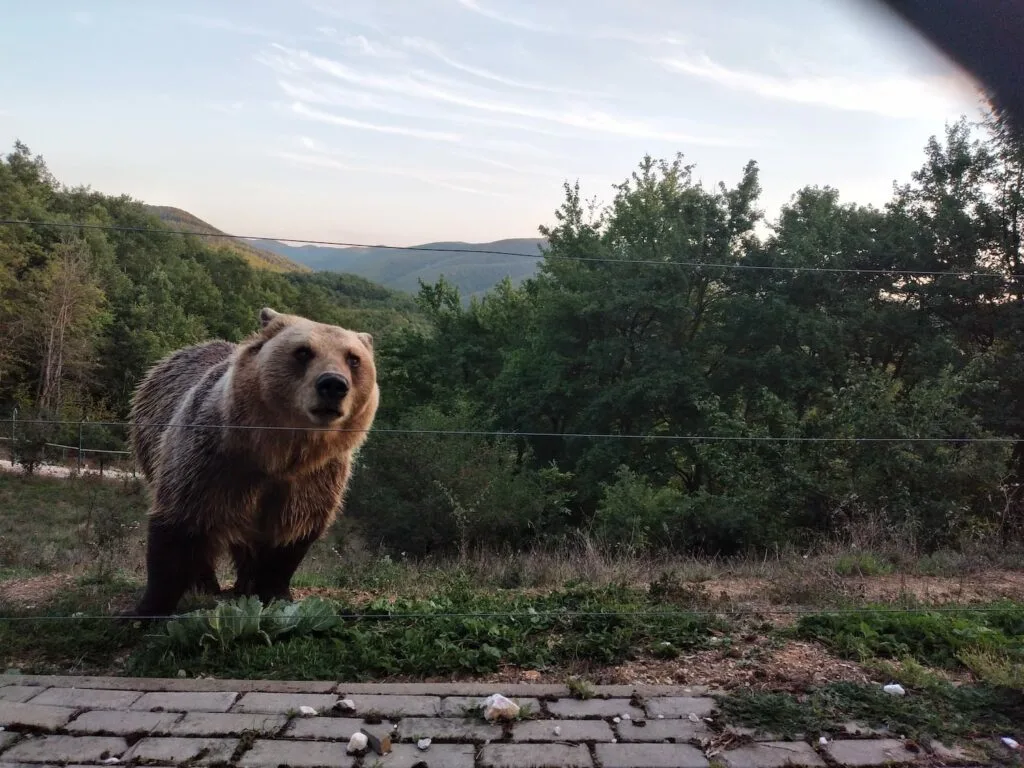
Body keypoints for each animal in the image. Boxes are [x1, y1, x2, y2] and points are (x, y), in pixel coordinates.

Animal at [128, 309, 380, 618]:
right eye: (303, 351)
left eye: (353, 358)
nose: (333, 384)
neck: (277, 453)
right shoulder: (211, 461)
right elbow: (179, 526)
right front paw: (148, 608)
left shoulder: (313, 478)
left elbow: (293, 533)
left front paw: (275, 591)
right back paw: (206, 584)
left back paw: (244, 583)